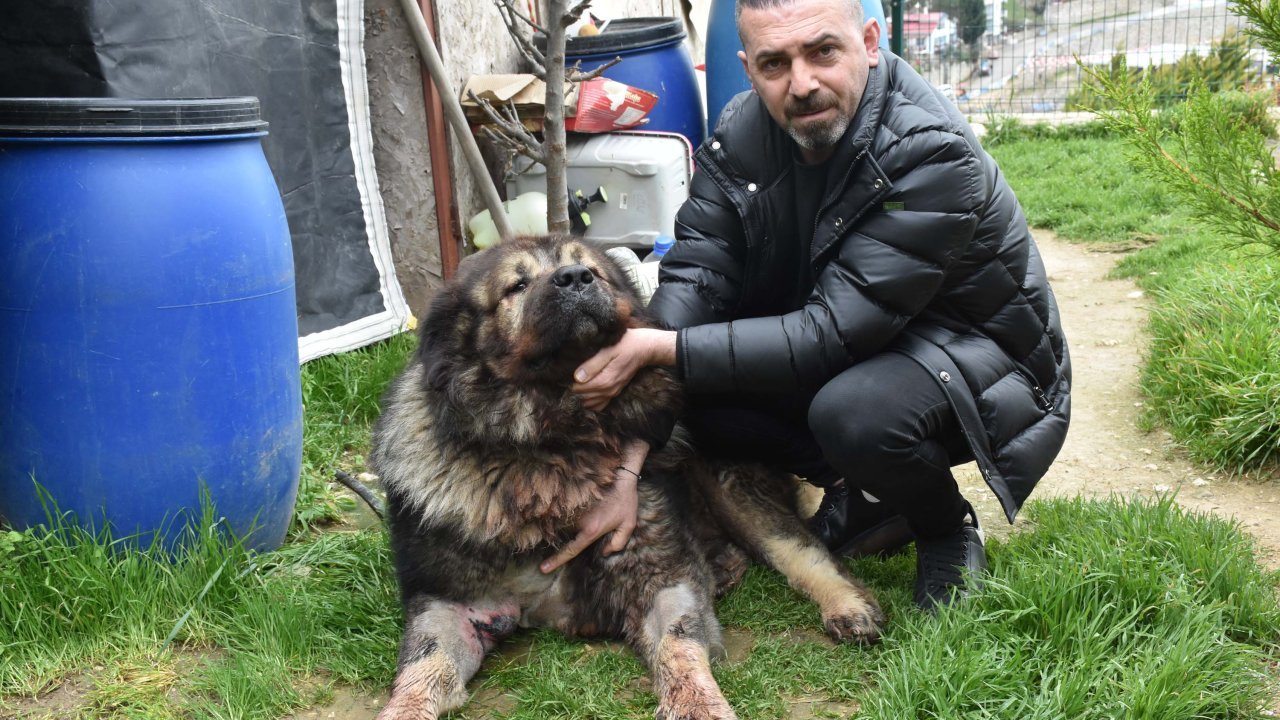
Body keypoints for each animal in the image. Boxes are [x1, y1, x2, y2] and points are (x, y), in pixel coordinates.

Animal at [371, 237, 880, 717]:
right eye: (516, 286)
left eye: (591, 270)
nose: (575, 278)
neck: (551, 444)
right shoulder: (450, 604)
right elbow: (423, 666)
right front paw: (401, 709)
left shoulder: (663, 578)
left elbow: (679, 645)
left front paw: (700, 705)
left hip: (735, 493)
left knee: (805, 552)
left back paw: (848, 606)